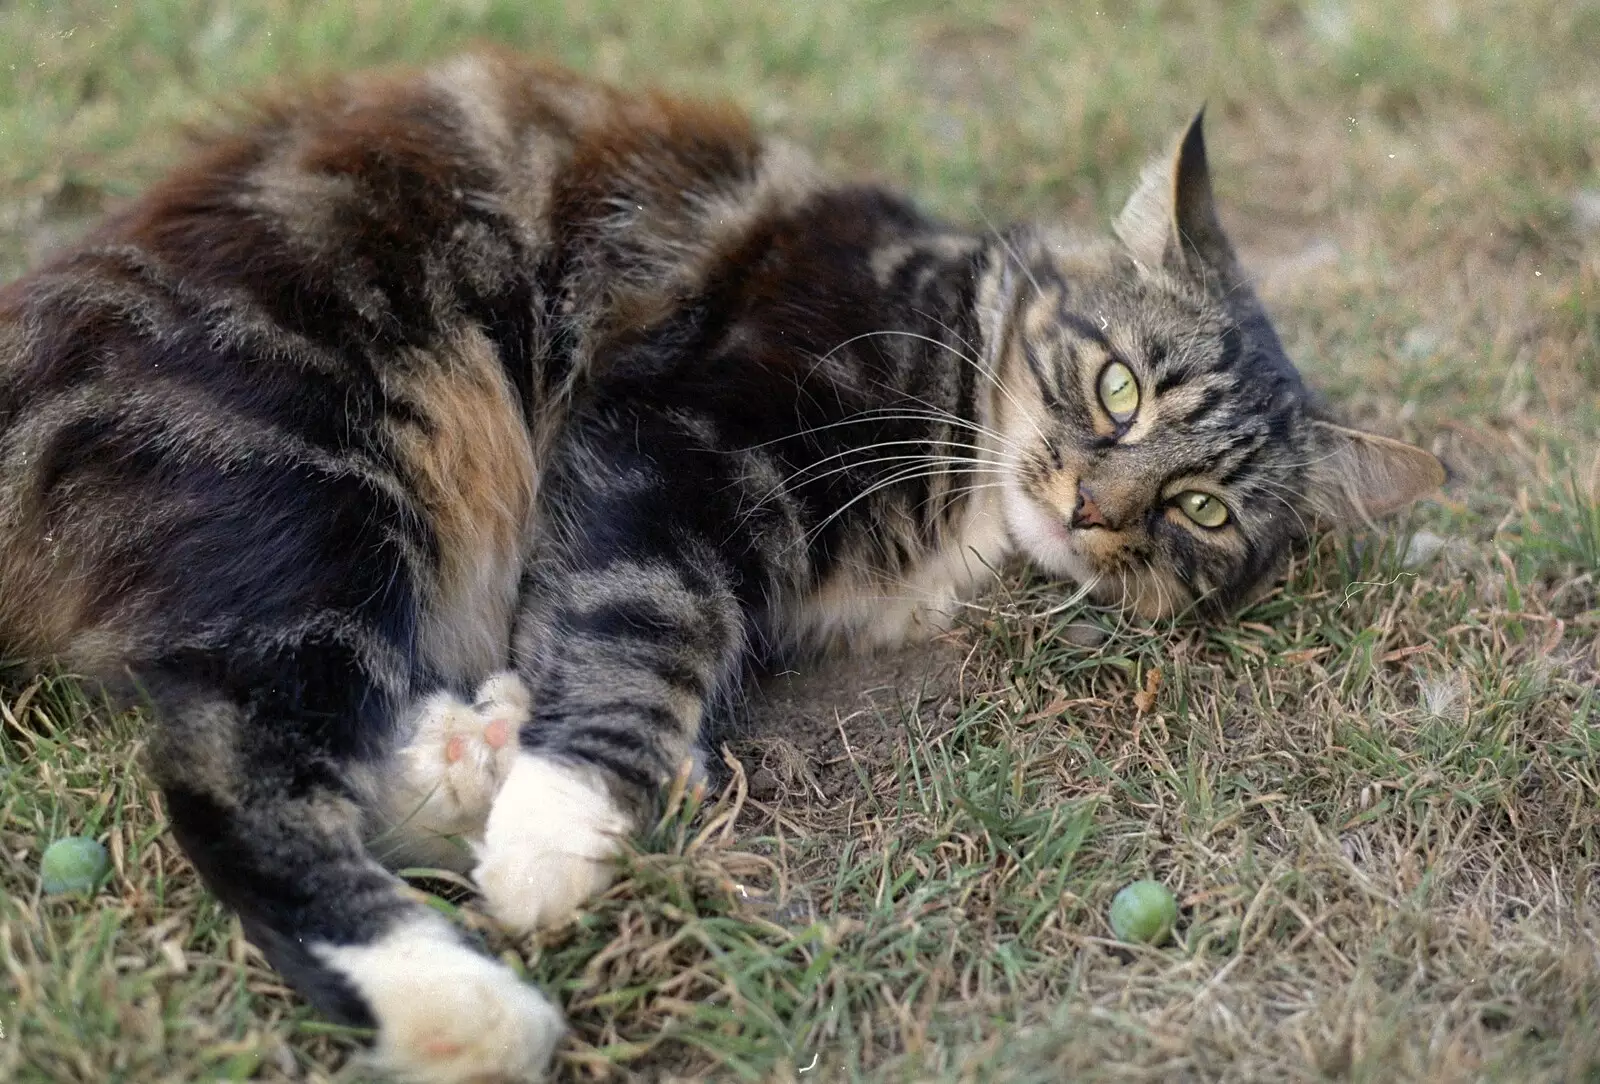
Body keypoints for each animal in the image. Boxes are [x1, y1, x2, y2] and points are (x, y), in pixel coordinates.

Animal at [0, 48, 1446, 1080]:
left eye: (1200, 510)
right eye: (1119, 389)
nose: (1095, 508)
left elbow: (626, 641)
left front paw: (549, 787)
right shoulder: (676, 435)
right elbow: (645, 632)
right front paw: (559, 832)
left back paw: (479, 749)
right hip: (333, 473)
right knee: (230, 772)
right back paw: (469, 998)